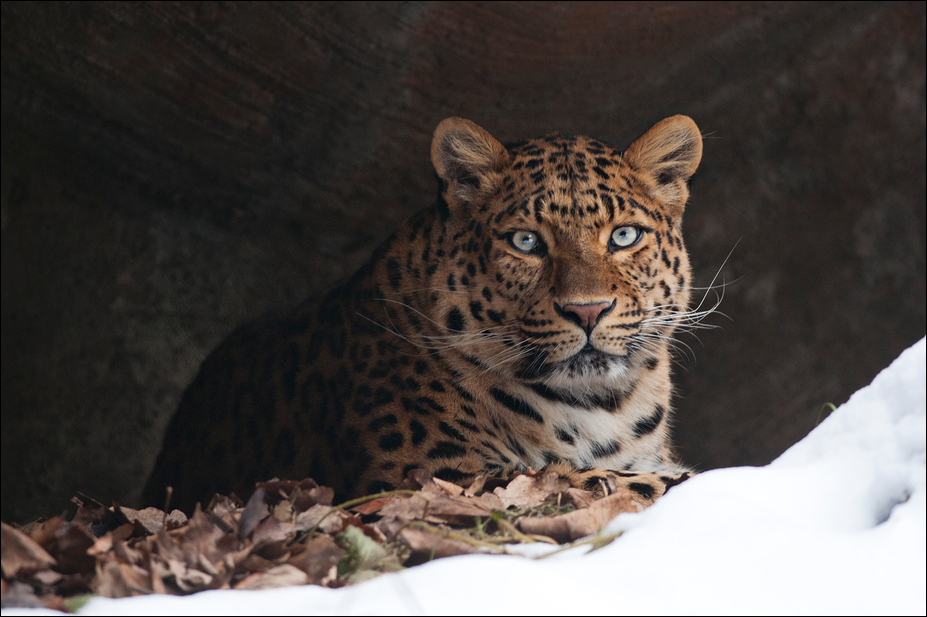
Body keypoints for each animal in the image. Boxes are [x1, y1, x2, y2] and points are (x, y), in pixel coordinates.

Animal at [143, 114, 704, 514]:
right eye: (526, 242)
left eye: (624, 236)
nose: (587, 310)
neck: (600, 409)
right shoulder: (427, 477)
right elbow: (623, 480)